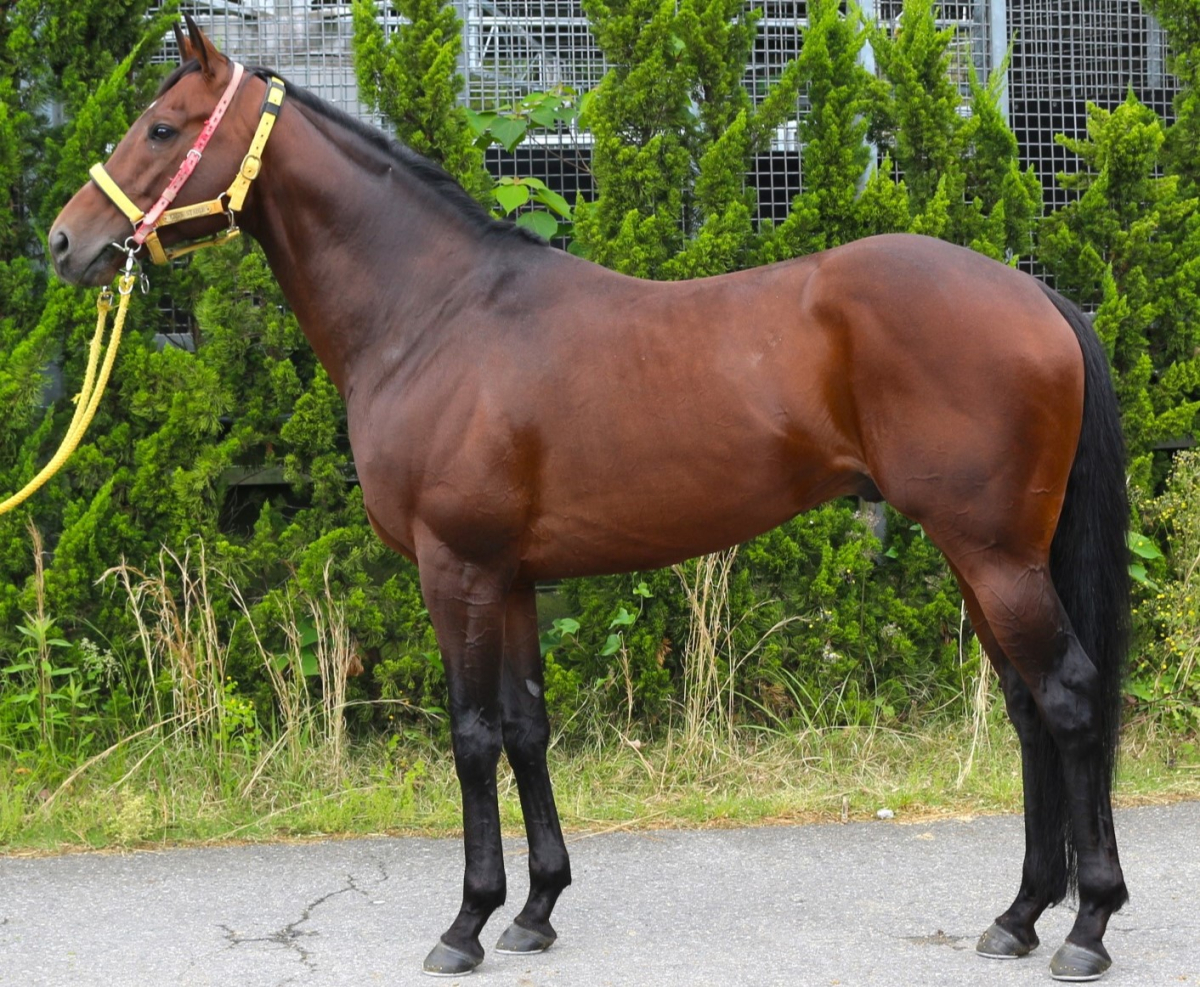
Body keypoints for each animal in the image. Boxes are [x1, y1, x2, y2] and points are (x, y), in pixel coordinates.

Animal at [49, 17, 1131, 982]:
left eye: (161, 127)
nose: (65, 241)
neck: (434, 314)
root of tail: (1036, 296)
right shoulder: (514, 577)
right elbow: (527, 726)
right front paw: (535, 910)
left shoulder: (456, 569)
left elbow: (473, 736)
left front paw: (466, 924)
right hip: (983, 556)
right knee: (1030, 711)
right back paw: (1019, 916)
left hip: (992, 553)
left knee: (1071, 698)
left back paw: (1085, 929)